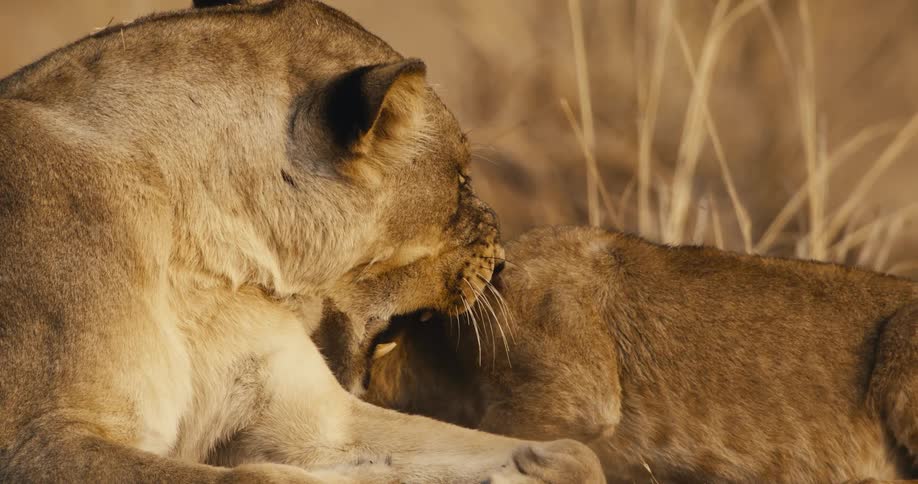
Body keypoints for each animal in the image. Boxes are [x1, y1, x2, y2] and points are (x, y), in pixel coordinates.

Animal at [0, 1, 603, 482]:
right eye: (460, 180)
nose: (500, 262)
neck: (208, 256)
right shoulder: (40, 442)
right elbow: (263, 475)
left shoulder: (314, 419)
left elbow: (575, 453)